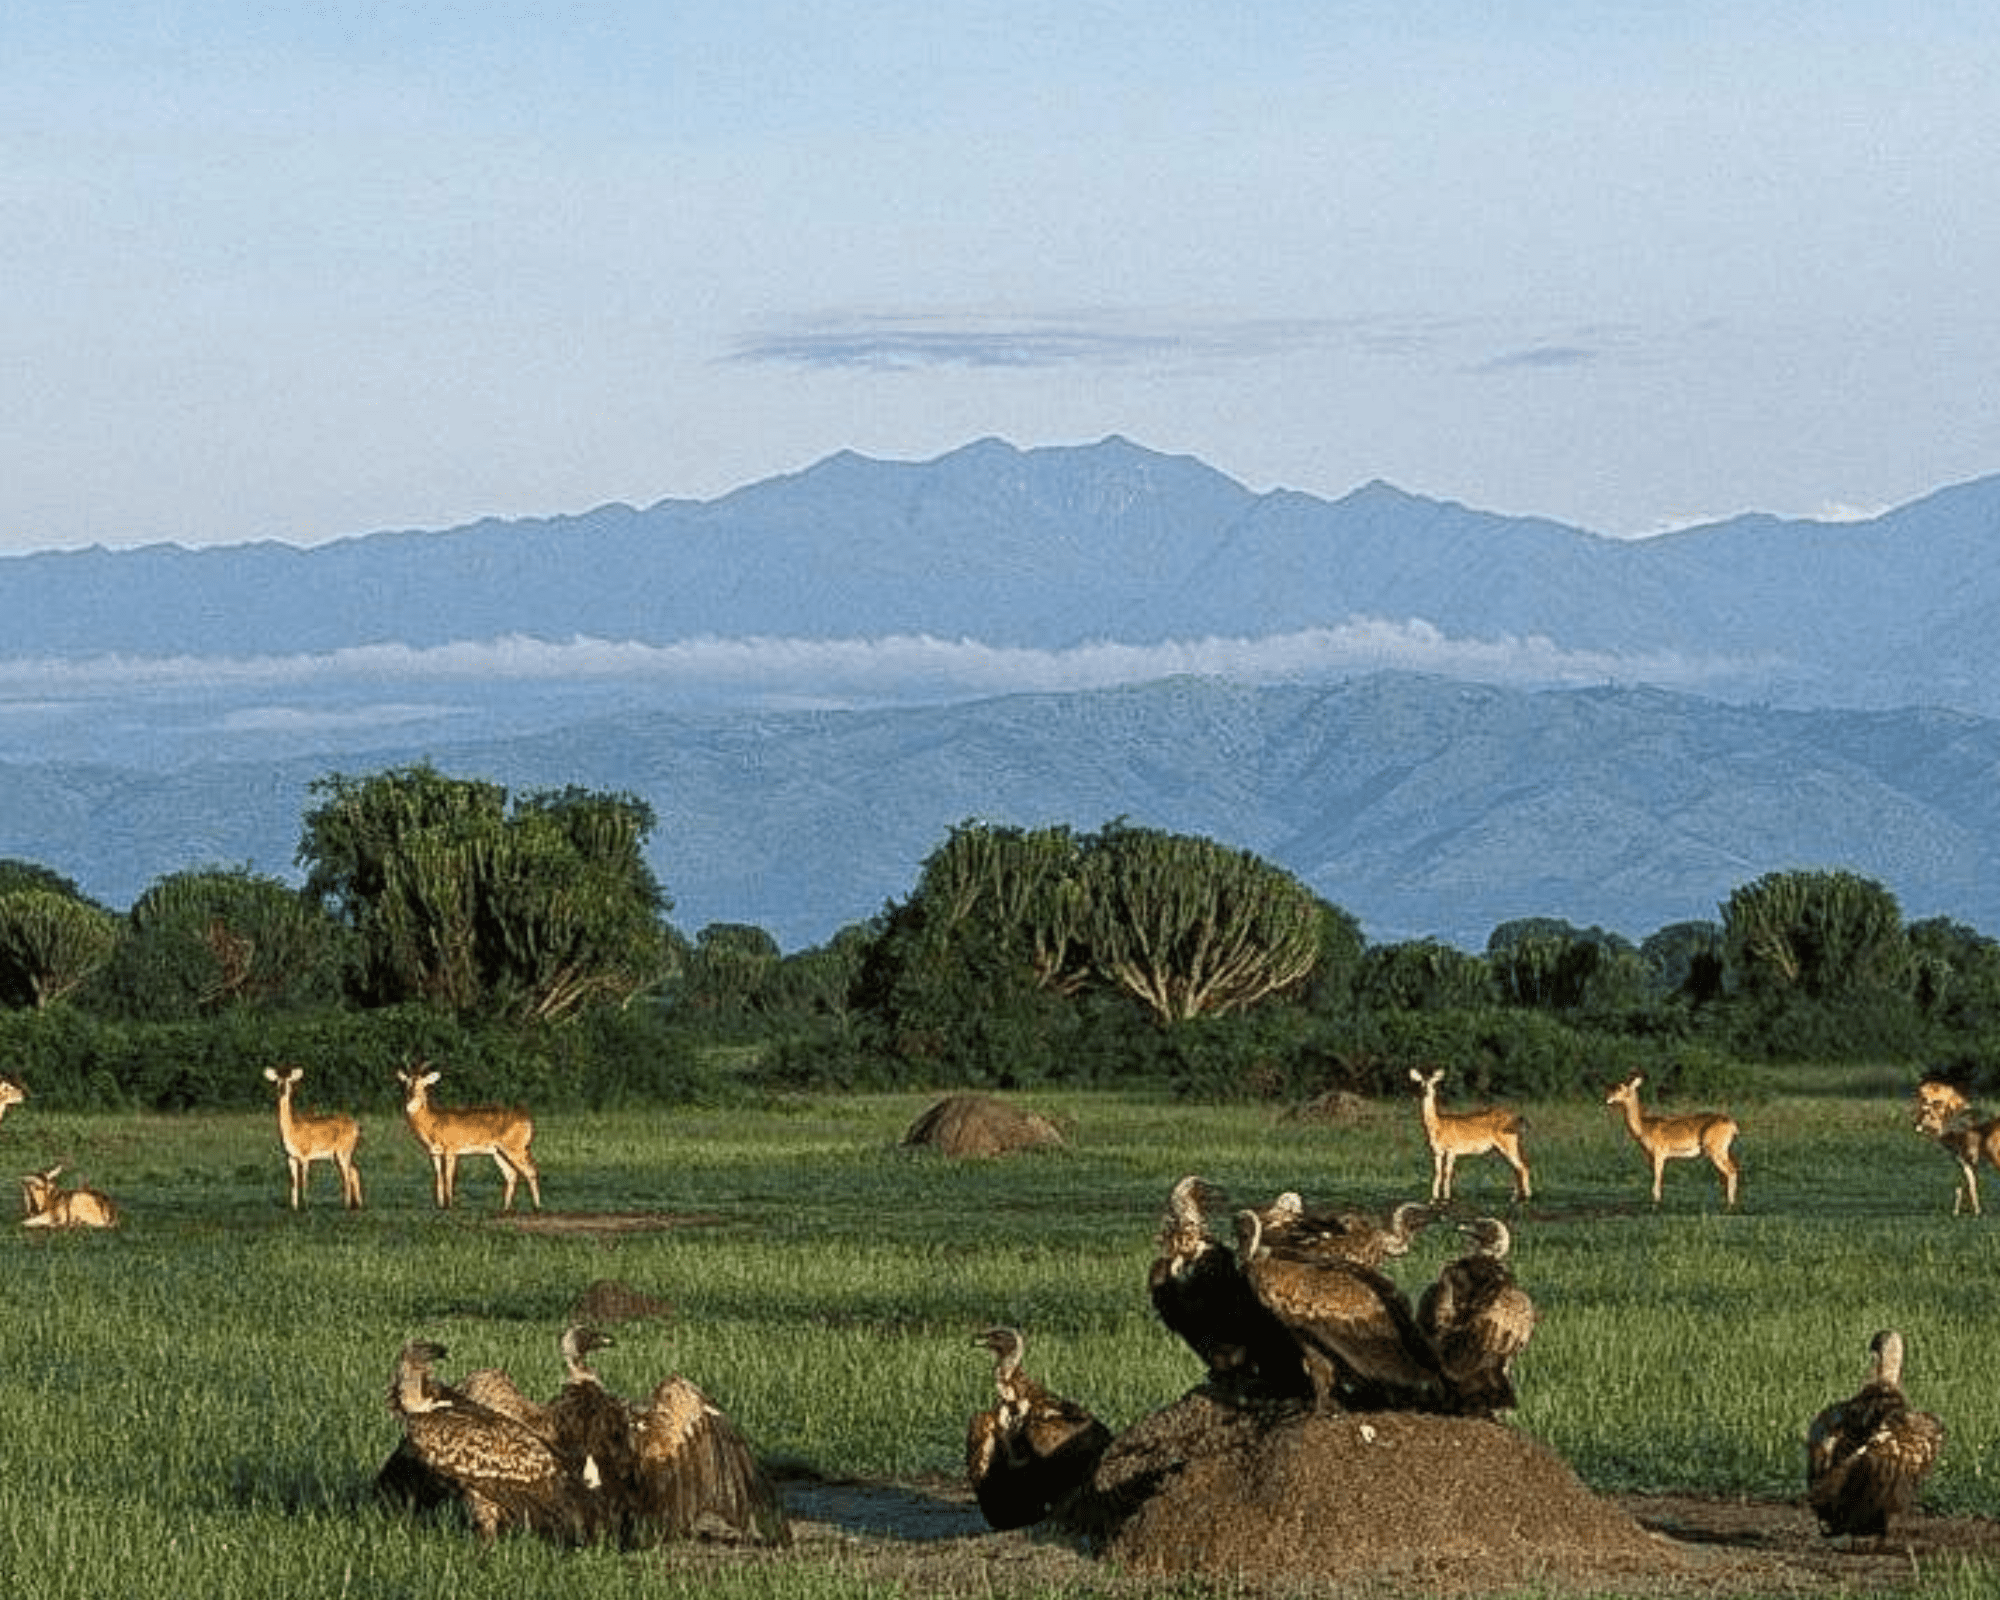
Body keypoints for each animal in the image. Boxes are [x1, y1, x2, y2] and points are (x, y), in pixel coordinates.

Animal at [264, 1072, 366, 1208]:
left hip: (343, 1151)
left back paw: (347, 1205)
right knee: (353, 1171)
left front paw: (305, 1205)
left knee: (347, 1174)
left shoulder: (305, 1156)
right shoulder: (290, 1157)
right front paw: (294, 1207)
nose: (283, 1089)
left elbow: (304, 1180)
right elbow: (293, 1181)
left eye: (290, 1081)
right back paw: (358, 1203)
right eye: (277, 1081)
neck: (293, 1130)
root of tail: (356, 1126)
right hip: (339, 1155)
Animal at [398, 1064, 544, 1216]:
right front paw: (440, 1206)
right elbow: (438, 1177)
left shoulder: (451, 1151)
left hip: (515, 1149)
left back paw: (537, 1208)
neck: (433, 1122)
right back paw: (504, 1209)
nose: (410, 1104)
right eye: (406, 1084)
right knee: (512, 1175)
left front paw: (449, 1206)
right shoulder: (434, 1153)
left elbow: (448, 1176)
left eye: (423, 1084)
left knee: (531, 1171)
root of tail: (528, 1120)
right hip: (498, 1152)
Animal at [1408, 1064, 1528, 1200]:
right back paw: (1515, 1196)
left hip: (1508, 1142)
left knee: (1522, 1166)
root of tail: (1516, 1119)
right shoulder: (1437, 1151)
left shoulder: (1452, 1148)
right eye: (1420, 1083)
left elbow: (1447, 1172)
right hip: (1503, 1146)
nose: (1426, 1091)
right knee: (1517, 1167)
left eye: (1433, 1083)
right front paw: (1434, 1197)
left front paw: (1447, 1197)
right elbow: (1438, 1172)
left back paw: (1526, 1196)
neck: (1438, 1126)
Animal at [1600, 1072, 1744, 1208]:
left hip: (1716, 1152)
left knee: (1731, 1171)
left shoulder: (1659, 1155)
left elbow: (1657, 1178)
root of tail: (1732, 1124)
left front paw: (1656, 1205)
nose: (1607, 1099)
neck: (1645, 1127)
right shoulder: (1650, 1158)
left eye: (1620, 1087)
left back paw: (1730, 1205)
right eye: (1612, 1087)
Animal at [1896, 1080, 1992, 1216]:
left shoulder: (1966, 1160)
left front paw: (1965, 1211)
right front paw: (1971, 1210)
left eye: (1936, 1102)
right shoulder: (1966, 1161)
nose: (1916, 1123)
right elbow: (1968, 1184)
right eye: (1923, 1098)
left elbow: (1967, 1185)